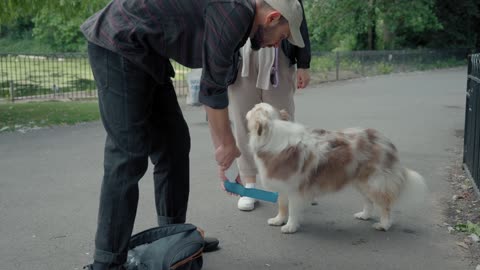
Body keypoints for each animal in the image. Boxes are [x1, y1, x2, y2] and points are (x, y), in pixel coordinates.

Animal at [246, 102, 426, 233]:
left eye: (255, 108)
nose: (249, 108)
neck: (272, 134)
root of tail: (386, 140)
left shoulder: (295, 188)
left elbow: (292, 209)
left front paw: (290, 227)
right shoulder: (283, 184)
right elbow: (282, 206)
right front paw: (278, 220)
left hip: (375, 182)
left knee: (384, 205)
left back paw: (384, 225)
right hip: (360, 182)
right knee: (369, 201)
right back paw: (364, 215)